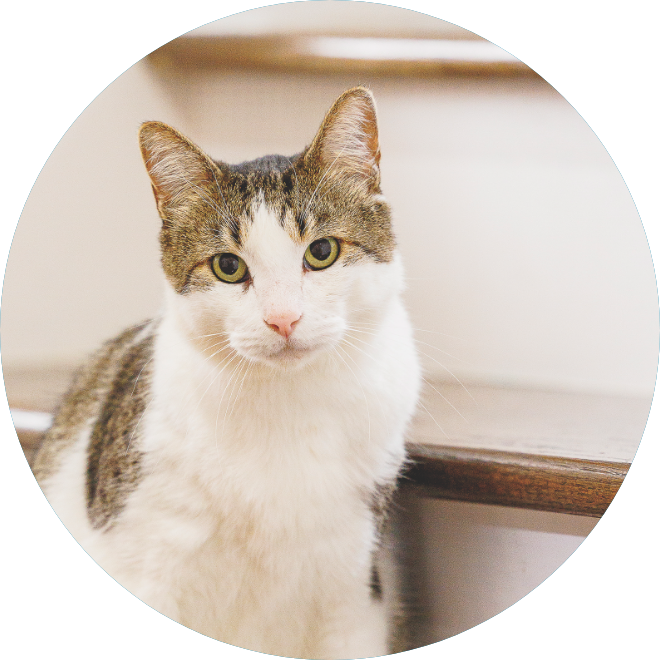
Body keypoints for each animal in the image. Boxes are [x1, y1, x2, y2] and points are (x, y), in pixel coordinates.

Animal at [33, 87, 420, 660]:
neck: (288, 405)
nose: (283, 319)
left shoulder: (352, 589)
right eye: (228, 267)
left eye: (321, 252)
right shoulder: (148, 559)